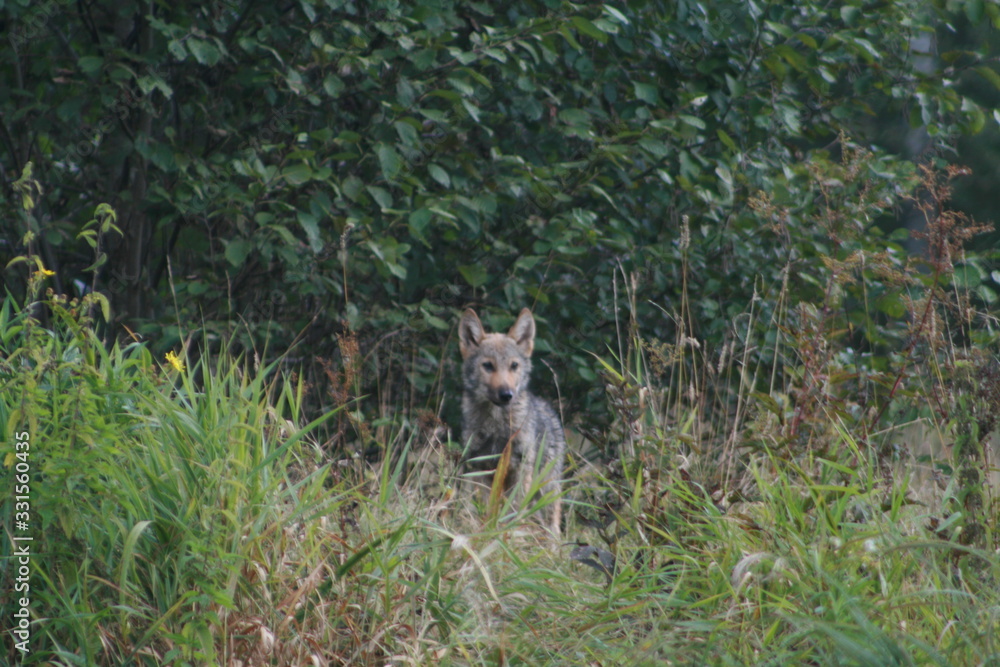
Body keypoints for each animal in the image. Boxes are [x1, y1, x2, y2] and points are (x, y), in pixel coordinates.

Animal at [458, 307, 565, 534]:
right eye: (488, 366)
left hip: (547, 491)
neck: (496, 427)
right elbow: (484, 511)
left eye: (514, 365)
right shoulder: (480, 468)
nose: (506, 394)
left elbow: (514, 510)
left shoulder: (520, 469)